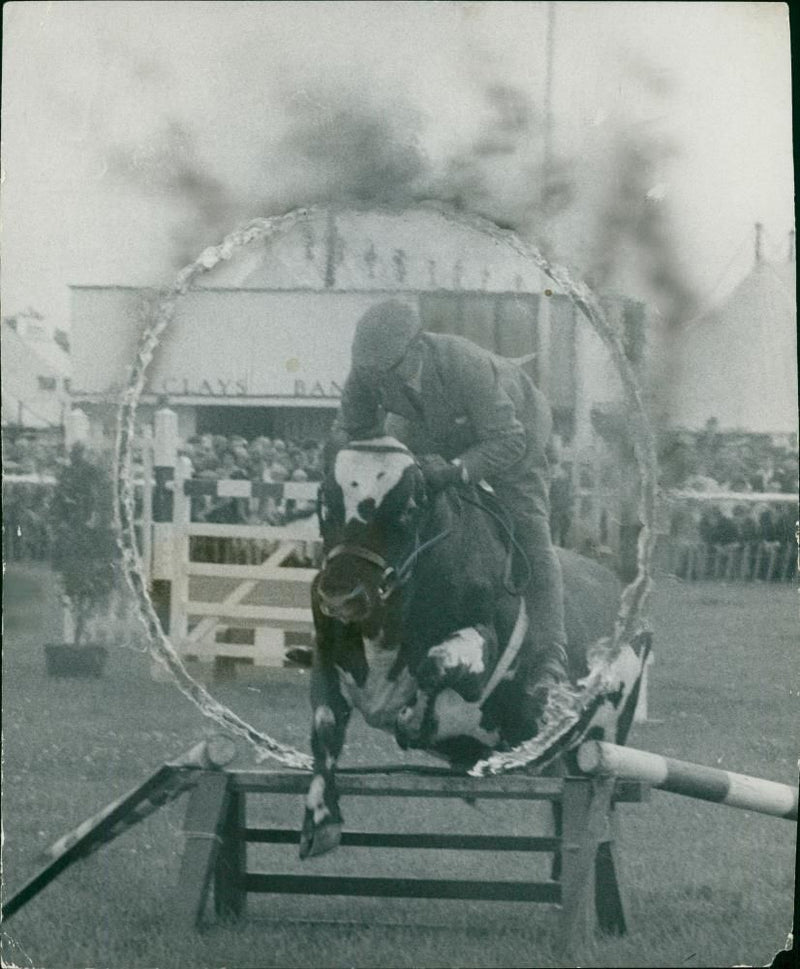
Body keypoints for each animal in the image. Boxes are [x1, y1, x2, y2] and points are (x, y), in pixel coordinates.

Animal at [300, 436, 644, 856]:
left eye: (409, 508)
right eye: (324, 500)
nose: (340, 594)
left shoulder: (477, 653)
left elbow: (433, 665)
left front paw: (413, 719)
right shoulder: (328, 656)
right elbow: (325, 726)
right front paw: (321, 818)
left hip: (601, 745)